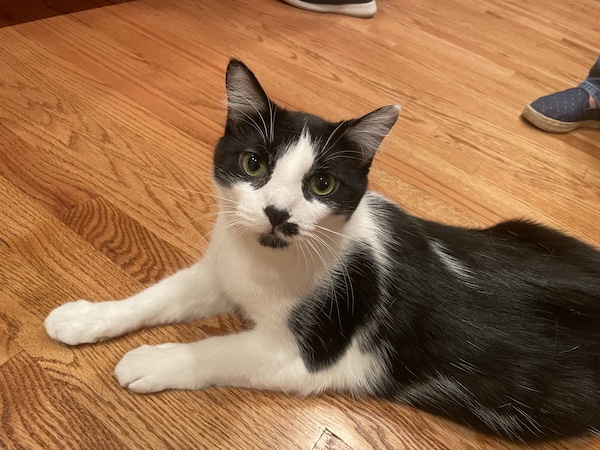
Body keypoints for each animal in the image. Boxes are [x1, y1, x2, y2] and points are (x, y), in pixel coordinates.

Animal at [44, 58, 600, 442]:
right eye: (252, 164)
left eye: (323, 184)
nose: (277, 213)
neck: (267, 259)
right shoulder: (223, 270)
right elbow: (160, 294)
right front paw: (84, 317)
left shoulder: (312, 356)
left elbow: (220, 349)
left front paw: (152, 361)